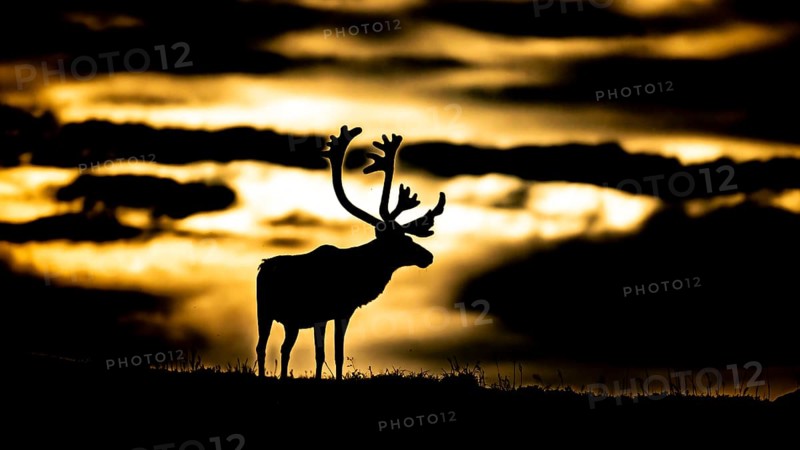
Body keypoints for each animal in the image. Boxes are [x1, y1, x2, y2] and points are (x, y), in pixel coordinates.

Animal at [256, 125, 446, 380]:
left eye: (409, 237)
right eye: (401, 240)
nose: (428, 256)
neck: (359, 274)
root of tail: (262, 266)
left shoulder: (326, 315)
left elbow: (321, 354)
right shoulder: (340, 310)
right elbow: (337, 353)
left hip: (289, 320)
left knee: (281, 348)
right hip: (266, 312)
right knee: (265, 347)